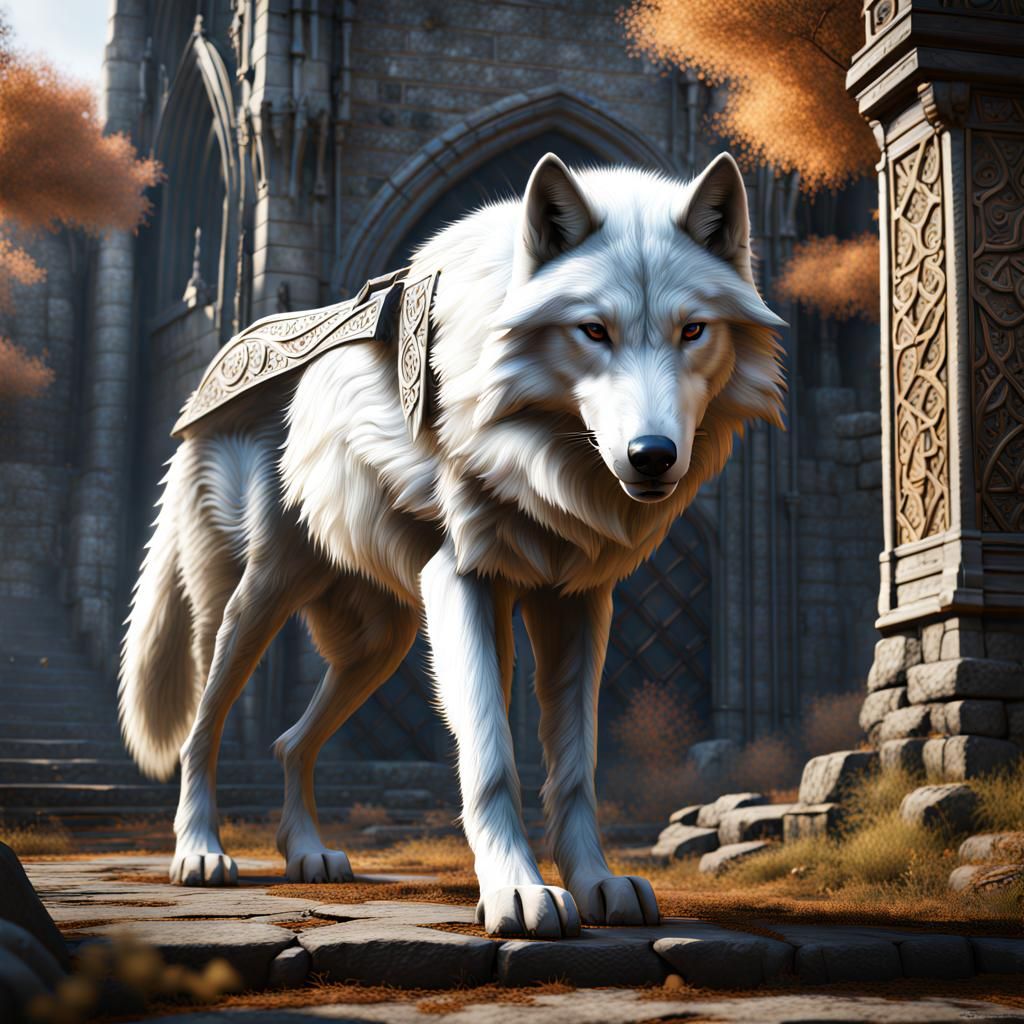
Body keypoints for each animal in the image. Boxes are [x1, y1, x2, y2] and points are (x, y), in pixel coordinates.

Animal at [118, 151, 784, 938]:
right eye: (593, 331)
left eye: (693, 331)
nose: (652, 457)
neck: (541, 452)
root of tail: (202, 392)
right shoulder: (464, 584)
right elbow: (492, 757)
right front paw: (519, 892)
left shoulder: (578, 603)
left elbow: (575, 769)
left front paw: (596, 883)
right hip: (258, 604)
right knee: (202, 728)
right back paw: (199, 852)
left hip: (384, 641)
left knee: (290, 742)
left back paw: (307, 852)